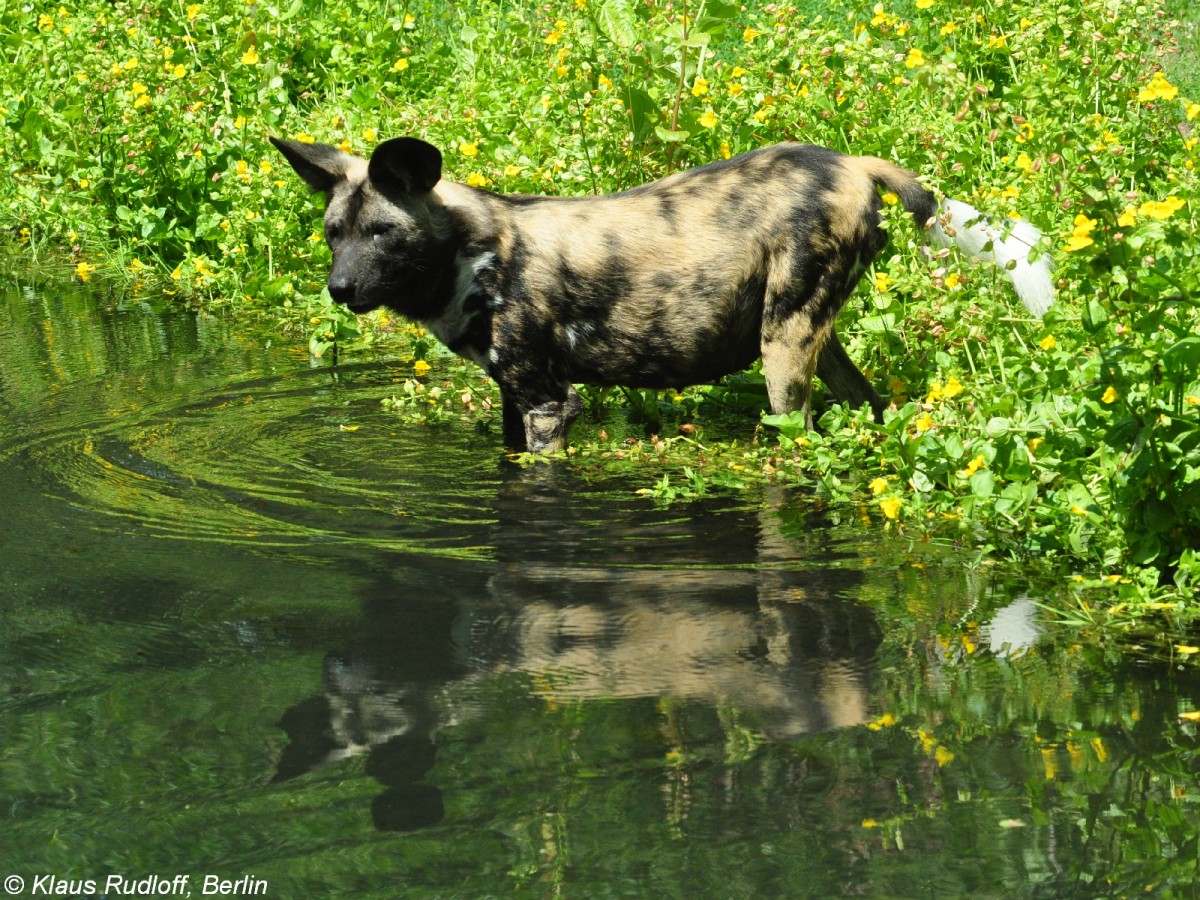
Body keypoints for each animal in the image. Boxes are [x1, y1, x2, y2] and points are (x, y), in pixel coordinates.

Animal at [270, 135, 1051, 451]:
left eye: (383, 234)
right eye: (333, 234)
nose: (339, 288)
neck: (475, 254)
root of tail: (850, 162)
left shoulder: (549, 403)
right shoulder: (513, 399)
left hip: (783, 350)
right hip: (813, 338)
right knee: (869, 404)